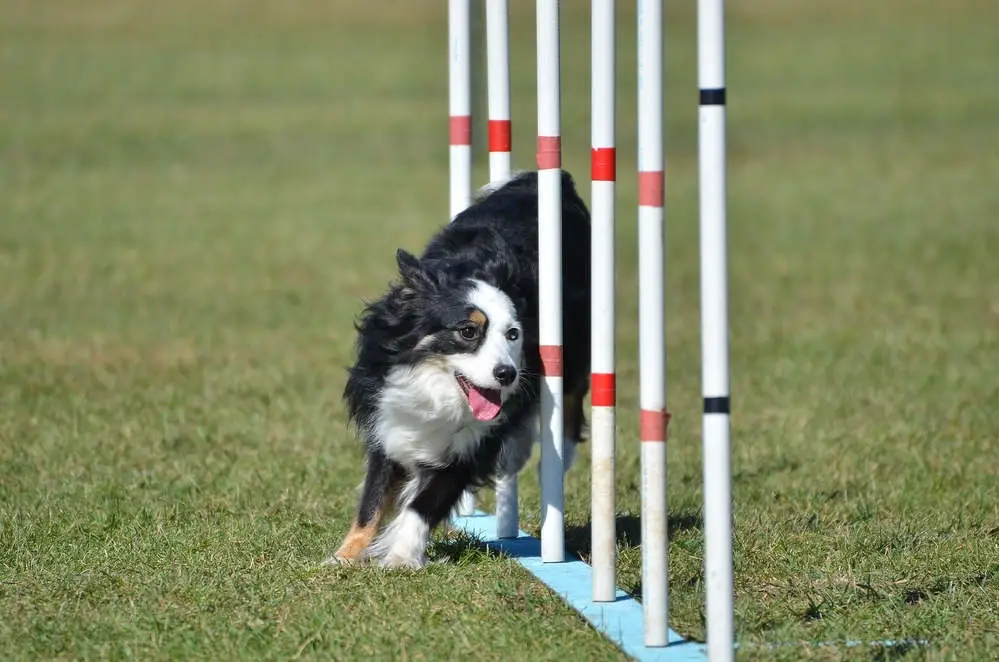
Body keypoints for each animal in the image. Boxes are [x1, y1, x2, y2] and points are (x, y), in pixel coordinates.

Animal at [332, 171, 588, 572]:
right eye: (468, 331)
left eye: (513, 334)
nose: (507, 375)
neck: (433, 383)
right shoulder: (388, 416)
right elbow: (372, 500)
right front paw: (344, 557)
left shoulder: (472, 445)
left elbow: (424, 503)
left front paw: (401, 557)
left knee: (573, 397)